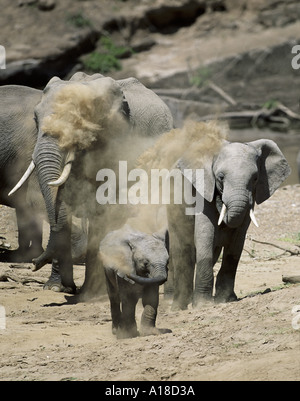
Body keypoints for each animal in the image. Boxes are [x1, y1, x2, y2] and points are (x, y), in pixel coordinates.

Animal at [166, 130, 290, 310]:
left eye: (255, 178)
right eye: (220, 177)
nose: (222, 201)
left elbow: (237, 241)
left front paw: (225, 299)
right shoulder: (204, 187)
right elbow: (205, 233)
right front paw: (203, 305)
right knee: (182, 251)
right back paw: (179, 305)